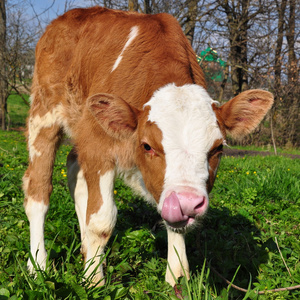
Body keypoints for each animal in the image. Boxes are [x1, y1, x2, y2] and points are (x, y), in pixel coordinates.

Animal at [22, 6, 274, 286]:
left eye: (218, 148)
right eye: (147, 146)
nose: (188, 202)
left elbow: (172, 222)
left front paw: (177, 278)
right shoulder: (98, 141)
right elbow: (101, 220)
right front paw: (93, 281)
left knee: (75, 172)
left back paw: (85, 250)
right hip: (44, 113)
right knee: (38, 191)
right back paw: (38, 266)